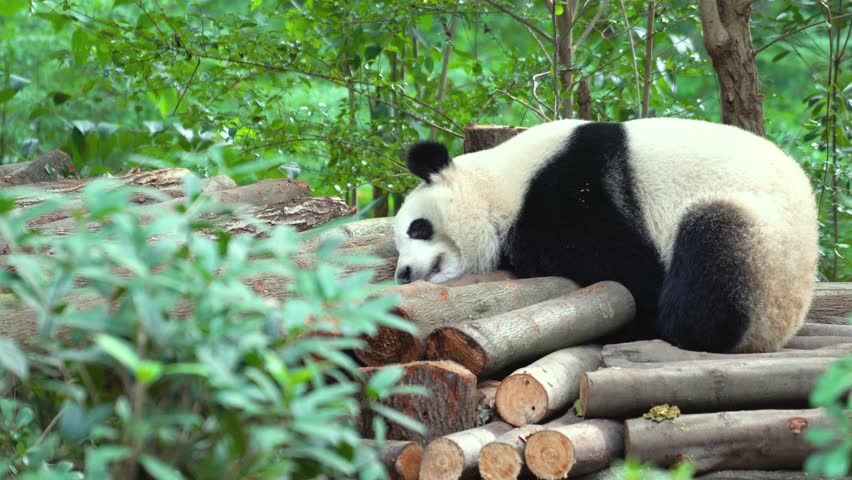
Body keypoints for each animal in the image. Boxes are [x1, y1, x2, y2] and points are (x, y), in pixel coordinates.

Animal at [392, 118, 820, 354]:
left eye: (418, 227)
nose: (403, 273)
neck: (500, 181)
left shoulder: (572, 185)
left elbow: (623, 266)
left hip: (765, 247)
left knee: (713, 240)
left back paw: (678, 328)